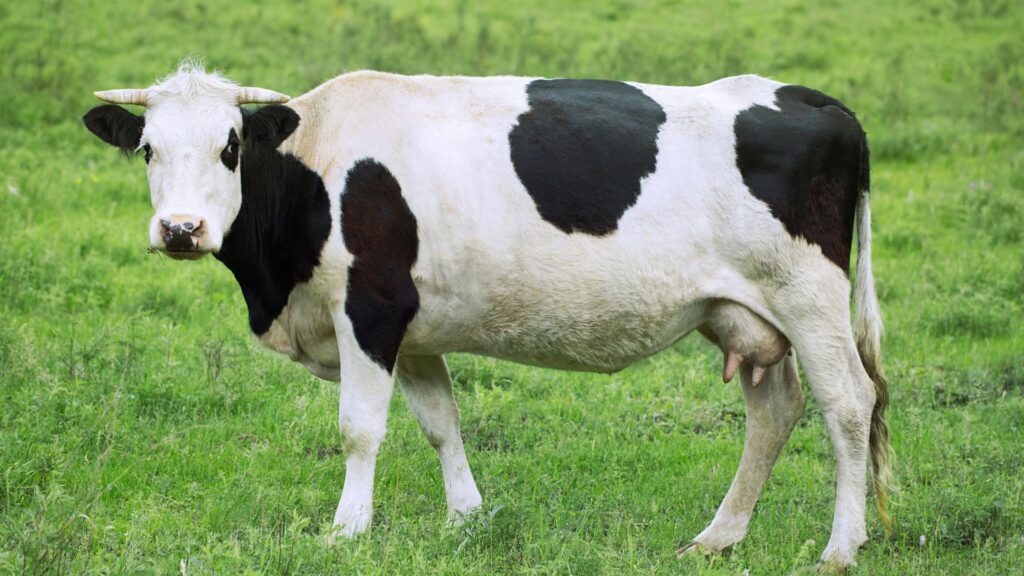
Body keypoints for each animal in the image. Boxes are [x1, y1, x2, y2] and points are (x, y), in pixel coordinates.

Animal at [82, 61, 893, 568]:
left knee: (849, 403)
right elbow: (442, 423)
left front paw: (347, 530)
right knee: (775, 411)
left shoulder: (369, 310)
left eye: (229, 147)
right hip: (744, 313)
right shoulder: (412, 332)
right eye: (148, 149)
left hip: (809, 298)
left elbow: (359, 429)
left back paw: (839, 548)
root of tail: (818, 101)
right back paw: (718, 539)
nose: (181, 229)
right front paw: (467, 520)